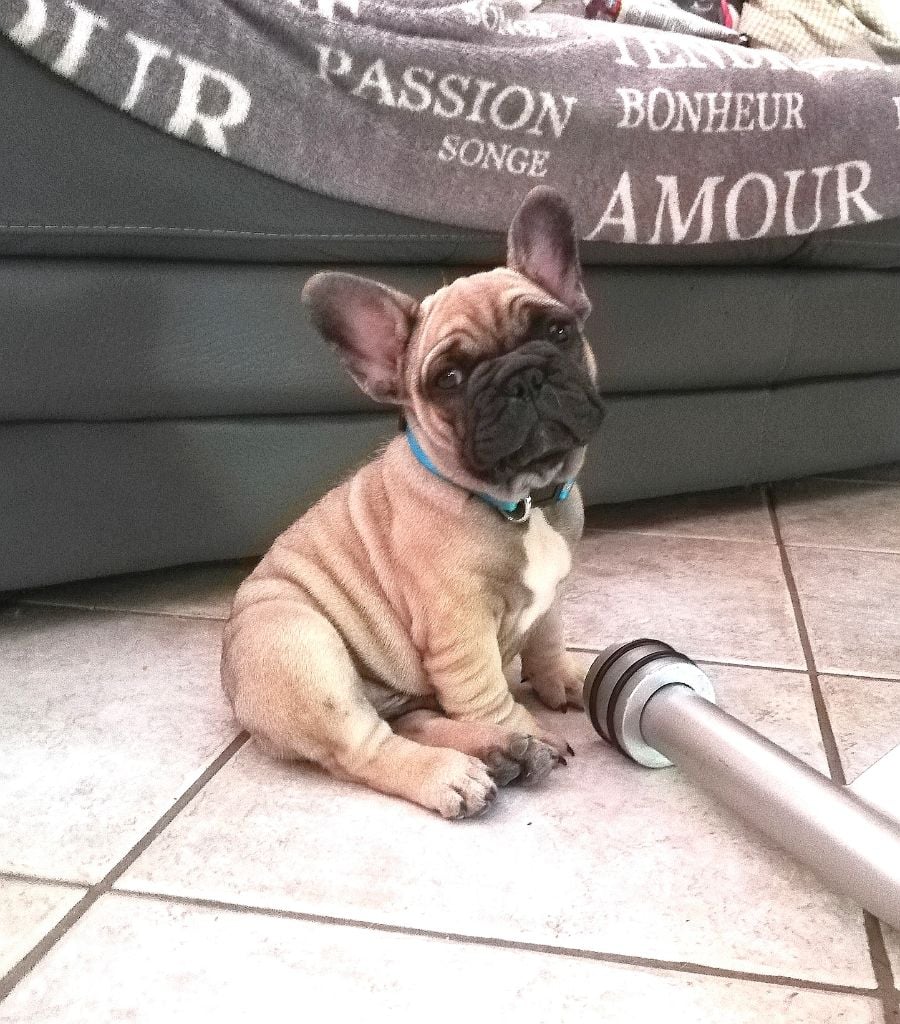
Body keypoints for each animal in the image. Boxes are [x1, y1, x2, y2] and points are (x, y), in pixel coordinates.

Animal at [221, 186, 605, 819]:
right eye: (449, 378)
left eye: (557, 332)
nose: (523, 377)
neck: (523, 501)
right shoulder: (460, 627)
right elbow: (485, 690)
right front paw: (525, 726)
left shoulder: (551, 595)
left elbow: (547, 638)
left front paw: (565, 679)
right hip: (299, 645)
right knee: (366, 745)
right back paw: (466, 766)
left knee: (413, 719)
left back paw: (499, 752)